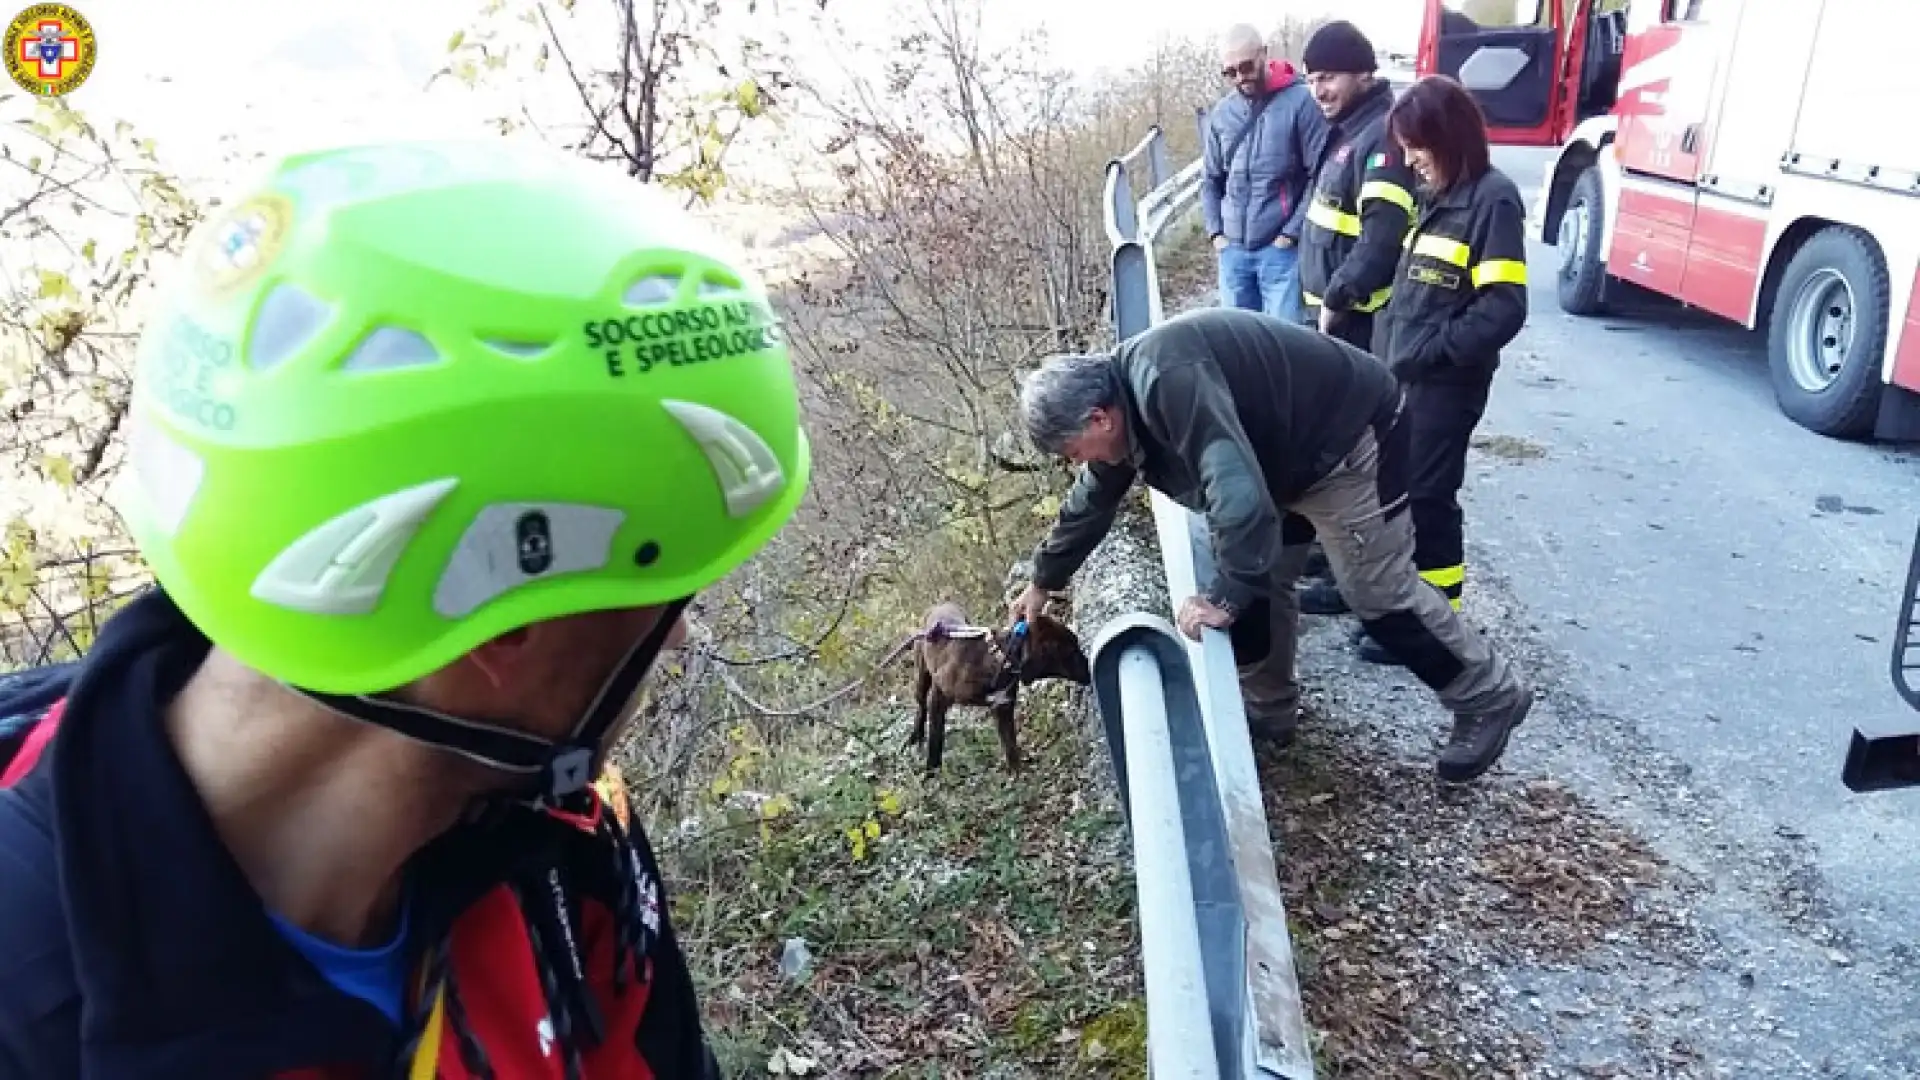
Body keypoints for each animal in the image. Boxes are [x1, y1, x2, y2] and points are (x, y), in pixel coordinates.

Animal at [906, 595, 1090, 772]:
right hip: (921, 677)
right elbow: (935, 739)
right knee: (921, 706)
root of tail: (939, 605)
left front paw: (1017, 773)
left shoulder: (1003, 707)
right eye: (1071, 650)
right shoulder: (938, 698)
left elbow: (1010, 746)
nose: (1090, 667)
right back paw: (916, 735)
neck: (1001, 659)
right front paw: (931, 770)